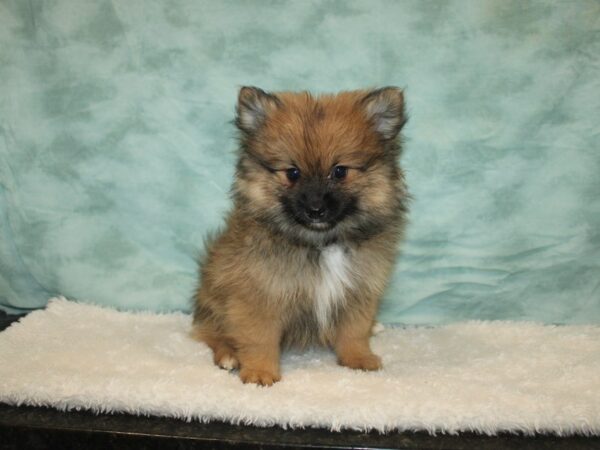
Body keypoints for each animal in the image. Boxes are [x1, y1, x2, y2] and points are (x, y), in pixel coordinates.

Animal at [192, 86, 408, 384]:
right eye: (292, 173)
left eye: (339, 171)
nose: (315, 208)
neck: (321, 243)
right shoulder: (259, 294)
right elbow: (259, 339)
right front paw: (260, 372)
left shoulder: (358, 289)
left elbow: (354, 331)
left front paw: (359, 358)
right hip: (213, 297)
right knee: (210, 331)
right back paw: (228, 355)